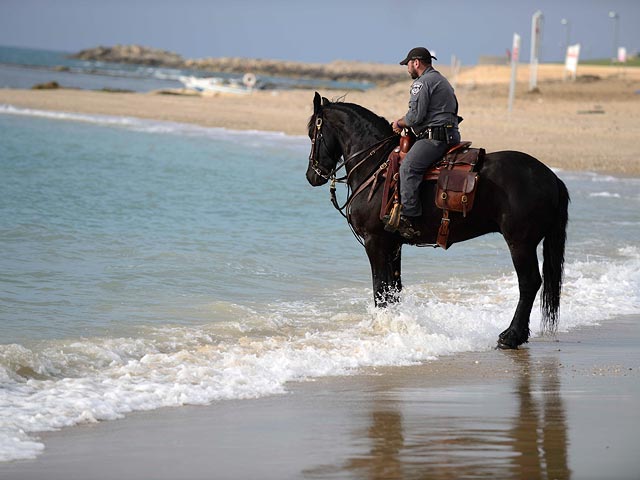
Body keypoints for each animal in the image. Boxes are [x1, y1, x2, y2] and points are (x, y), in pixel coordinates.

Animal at [306, 93, 568, 348]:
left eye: (312, 133)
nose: (311, 176)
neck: (376, 166)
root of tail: (551, 177)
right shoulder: (393, 245)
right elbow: (392, 290)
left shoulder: (375, 242)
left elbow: (380, 290)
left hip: (520, 243)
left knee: (529, 283)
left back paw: (511, 336)